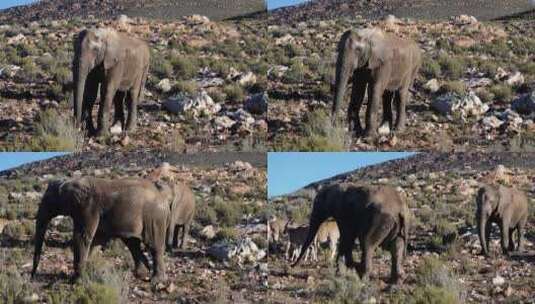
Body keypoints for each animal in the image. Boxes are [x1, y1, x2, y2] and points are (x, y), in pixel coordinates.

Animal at [31, 178, 173, 282]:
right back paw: (141, 274)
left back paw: (156, 280)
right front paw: (87, 272)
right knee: (133, 244)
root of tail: (163, 196)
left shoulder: (88, 208)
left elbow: (82, 237)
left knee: (153, 246)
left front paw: (76, 280)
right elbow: (95, 240)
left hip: (154, 218)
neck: (71, 181)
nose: (32, 276)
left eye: (48, 200)